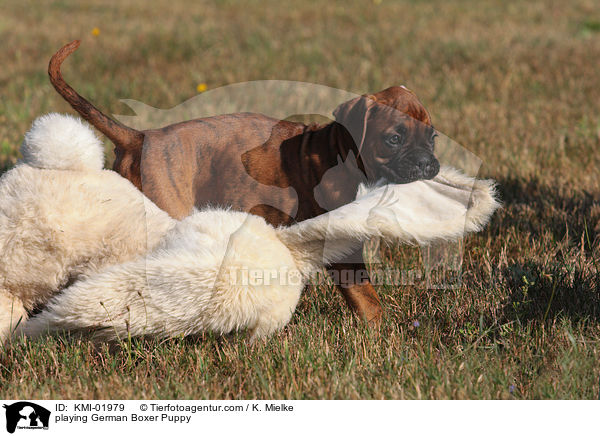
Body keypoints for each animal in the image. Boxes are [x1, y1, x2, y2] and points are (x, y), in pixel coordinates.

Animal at [48, 41, 440, 326]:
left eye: (433, 137)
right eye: (393, 139)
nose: (428, 163)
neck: (340, 150)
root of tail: (140, 138)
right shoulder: (342, 247)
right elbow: (365, 295)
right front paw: (381, 332)